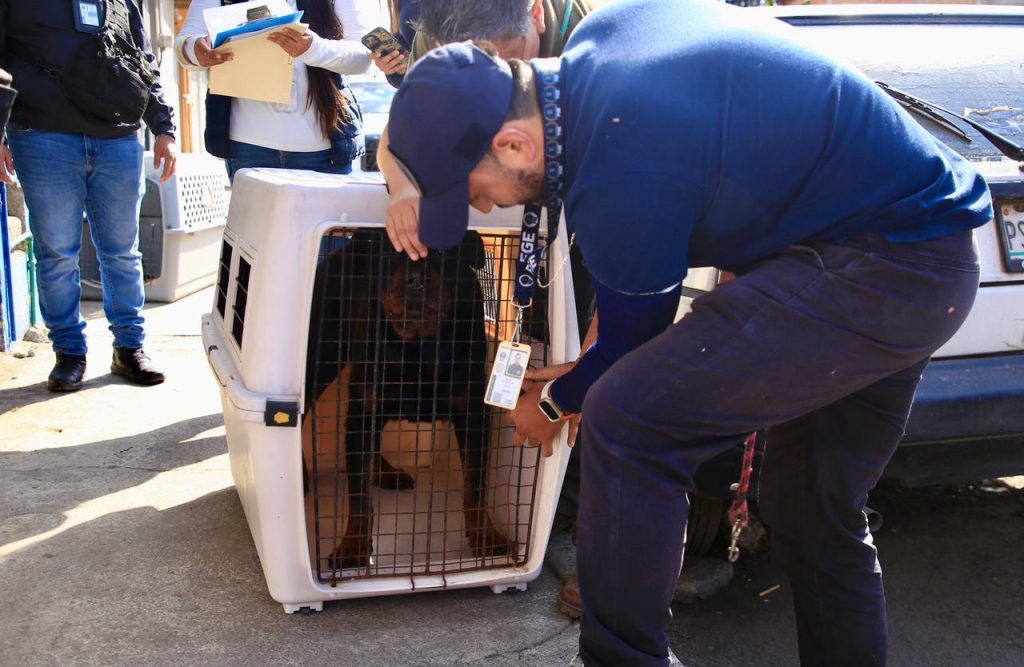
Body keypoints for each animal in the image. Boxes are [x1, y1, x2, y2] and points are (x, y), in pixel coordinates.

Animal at [304, 230, 512, 570]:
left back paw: (385, 472)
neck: (419, 346)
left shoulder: (473, 415)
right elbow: (358, 497)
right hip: (320, 361)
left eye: (443, 250)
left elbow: (475, 486)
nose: (416, 277)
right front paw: (353, 548)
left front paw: (486, 536)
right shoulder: (363, 410)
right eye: (392, 252)